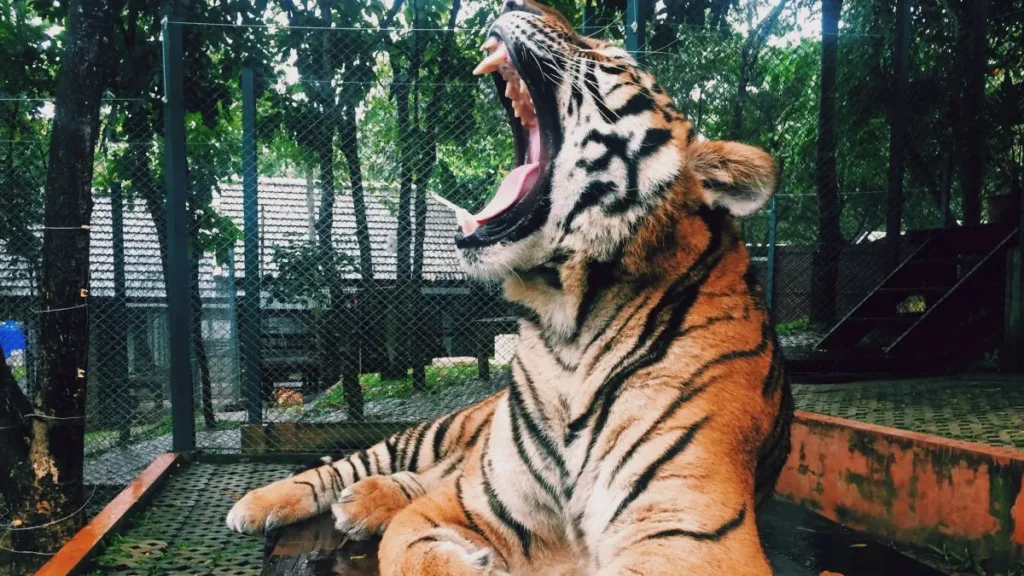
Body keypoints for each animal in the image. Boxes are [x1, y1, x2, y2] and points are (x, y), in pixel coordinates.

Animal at [226, 1, 793, 574]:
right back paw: (259, 504)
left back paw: (364, 502)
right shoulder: (475, 498)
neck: (567, 325)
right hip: (438, 431)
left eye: (613, 58)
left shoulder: (689, 532)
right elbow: (412, 549)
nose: (524, 5)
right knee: (353, 463)